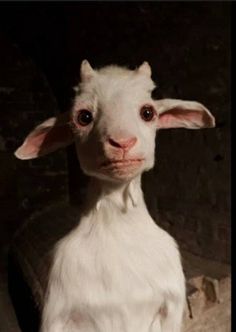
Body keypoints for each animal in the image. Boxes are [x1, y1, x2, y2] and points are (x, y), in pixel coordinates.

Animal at [13, 60, 215, 332]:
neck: (119, 228)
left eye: (148, 112)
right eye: (84, 116)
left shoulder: (171, 303)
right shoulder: (57, 311)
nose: (122, 142)